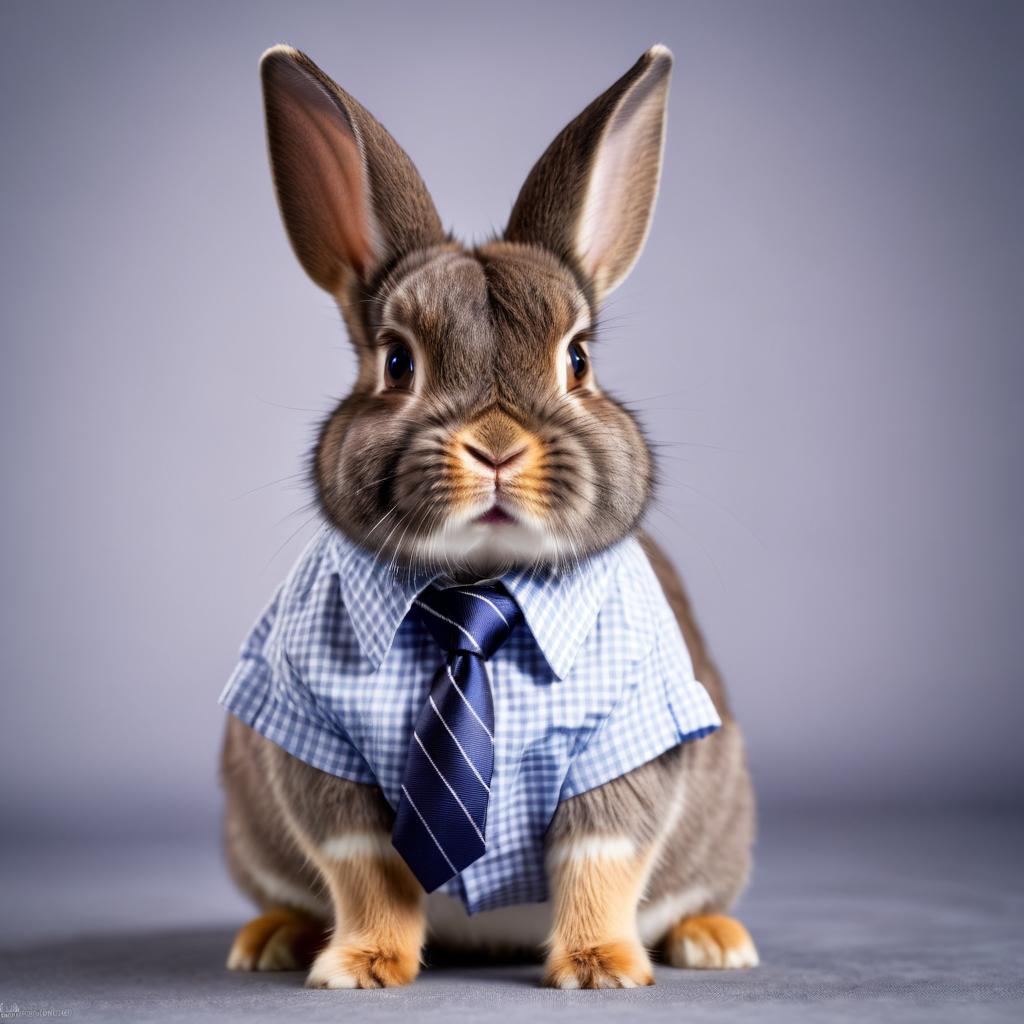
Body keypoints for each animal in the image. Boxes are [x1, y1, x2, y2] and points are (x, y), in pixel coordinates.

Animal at [220, 44, 757, 987]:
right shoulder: (313, 737)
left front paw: (599, 968)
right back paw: (271, 939)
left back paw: (715, 941)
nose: (498, 447)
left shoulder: (631, 736)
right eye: (397, 361)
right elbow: (365, 865)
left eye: (578, 359)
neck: (476, 588)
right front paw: (361, 966)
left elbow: (602, 854)